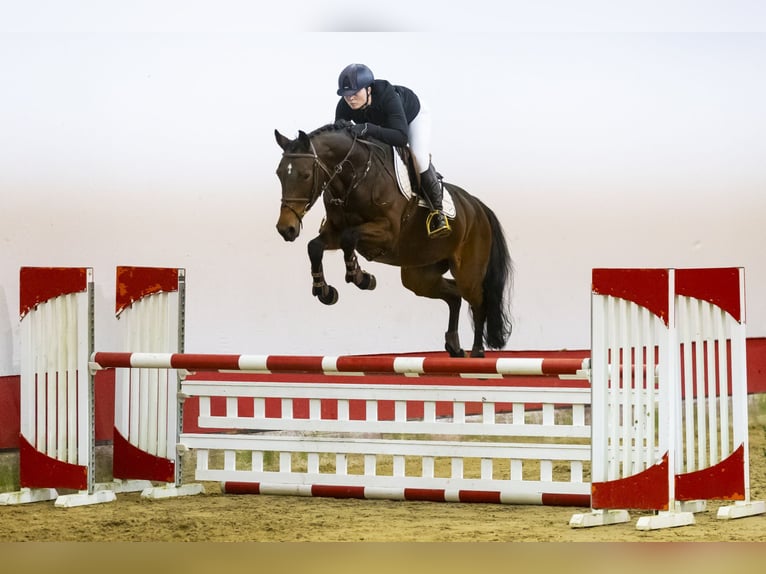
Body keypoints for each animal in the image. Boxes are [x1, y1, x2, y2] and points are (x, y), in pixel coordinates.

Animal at [272, 120, 512, 360]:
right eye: (279, 174)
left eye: (305, 175)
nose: (286, 229)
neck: (354, 178)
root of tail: (478, 206)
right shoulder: (334, 233)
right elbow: (314, 247)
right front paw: (324, 290)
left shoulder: (387, 233)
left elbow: (350, 238)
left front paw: (360, 277)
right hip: (419, 274)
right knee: (454, 295)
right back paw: (454, 345)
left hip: (467, 271)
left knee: (478, 300)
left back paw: (477, 351)